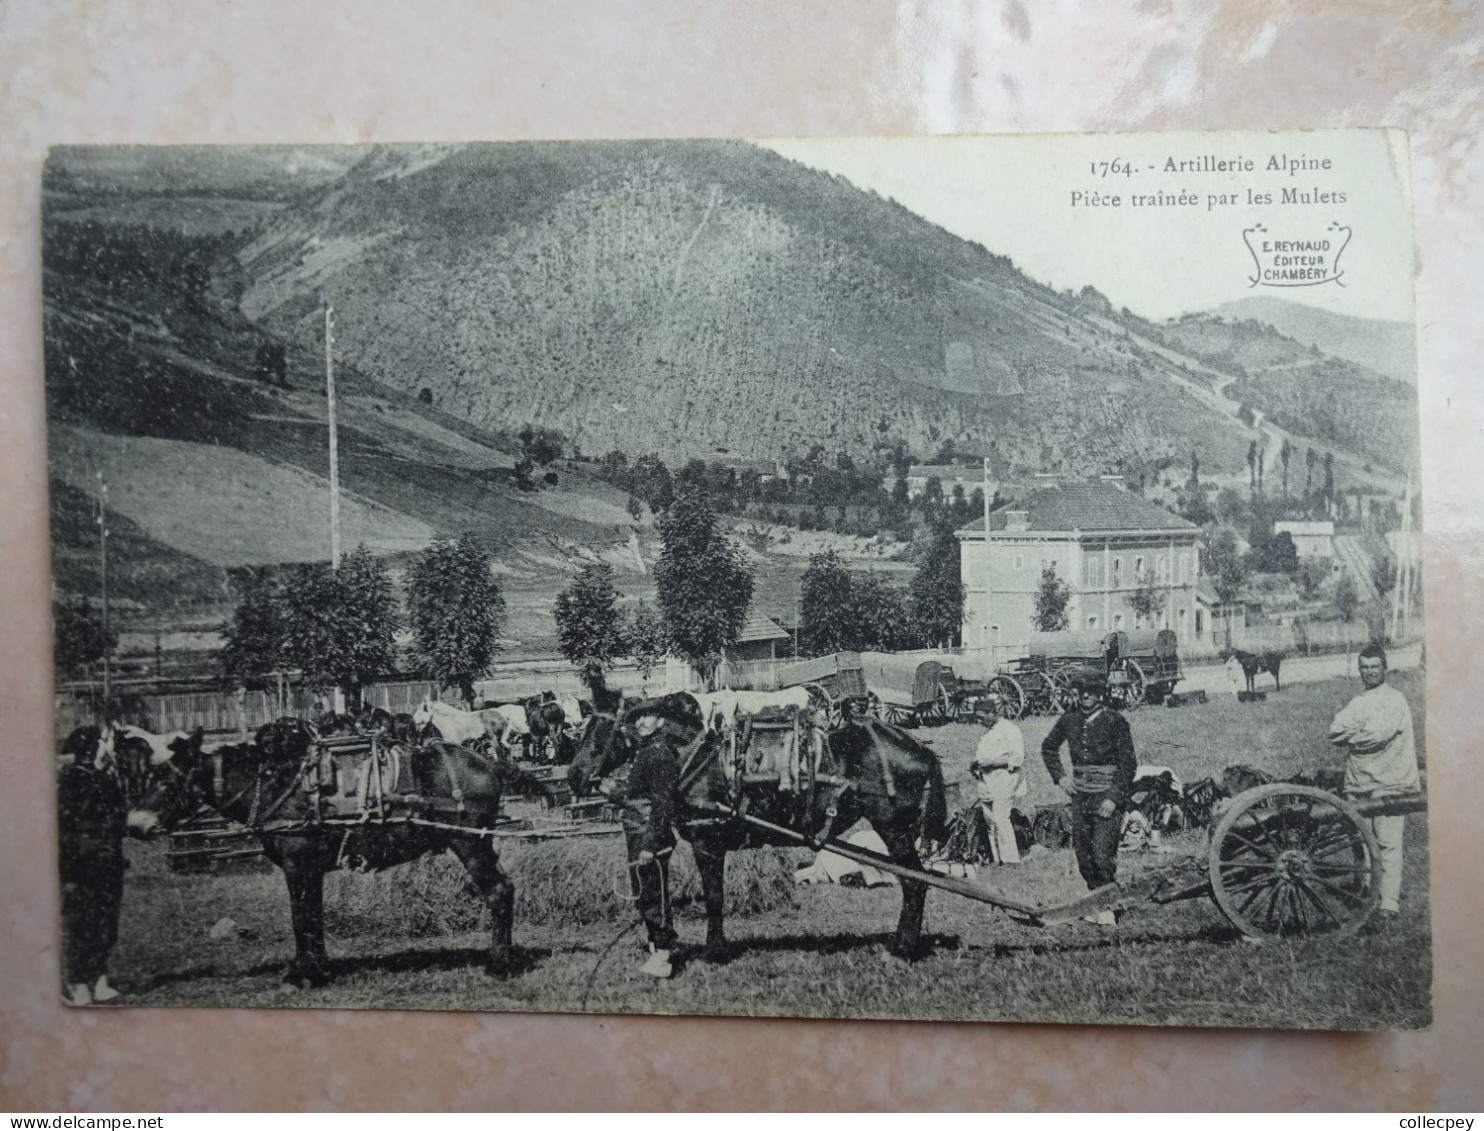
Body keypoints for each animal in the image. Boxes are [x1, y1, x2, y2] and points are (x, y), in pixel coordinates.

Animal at [127, 718, 534, 985]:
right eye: (148, 775)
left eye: (168, 781)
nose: (134, 824)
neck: (278, 787)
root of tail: (491, 762)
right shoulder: (311, 868)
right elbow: (313, 915)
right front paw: (318, 967)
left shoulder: (296, 865)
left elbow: (300, 918)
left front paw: (303, 973)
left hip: (470, 841)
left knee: (499, 891)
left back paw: (498, 965)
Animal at [566, 691, 949, 967]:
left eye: (599, 732)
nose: (574, 776)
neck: (696, 760)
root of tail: (918, 747)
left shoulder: (708, 843)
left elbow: (715, 898)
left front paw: (714, 953)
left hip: (894, 828)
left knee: (915, 882)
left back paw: (901, 949)